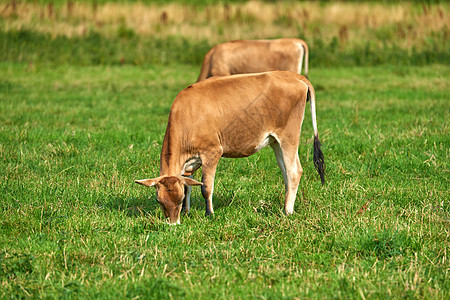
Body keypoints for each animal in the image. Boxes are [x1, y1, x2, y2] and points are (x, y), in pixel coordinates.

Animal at [135, 71, 326, 225]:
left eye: (179, 199)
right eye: (159, 201)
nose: (172, 224)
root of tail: (294, 76)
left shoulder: (212, 152)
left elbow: (206, 187)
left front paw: (209, 214)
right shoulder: (189, 164)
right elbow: (189, 184)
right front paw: (187, 212)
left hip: (289, 136)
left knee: (294, 171)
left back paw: (287, 211)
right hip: (275, 142)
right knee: (286, 173)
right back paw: (286, 205)